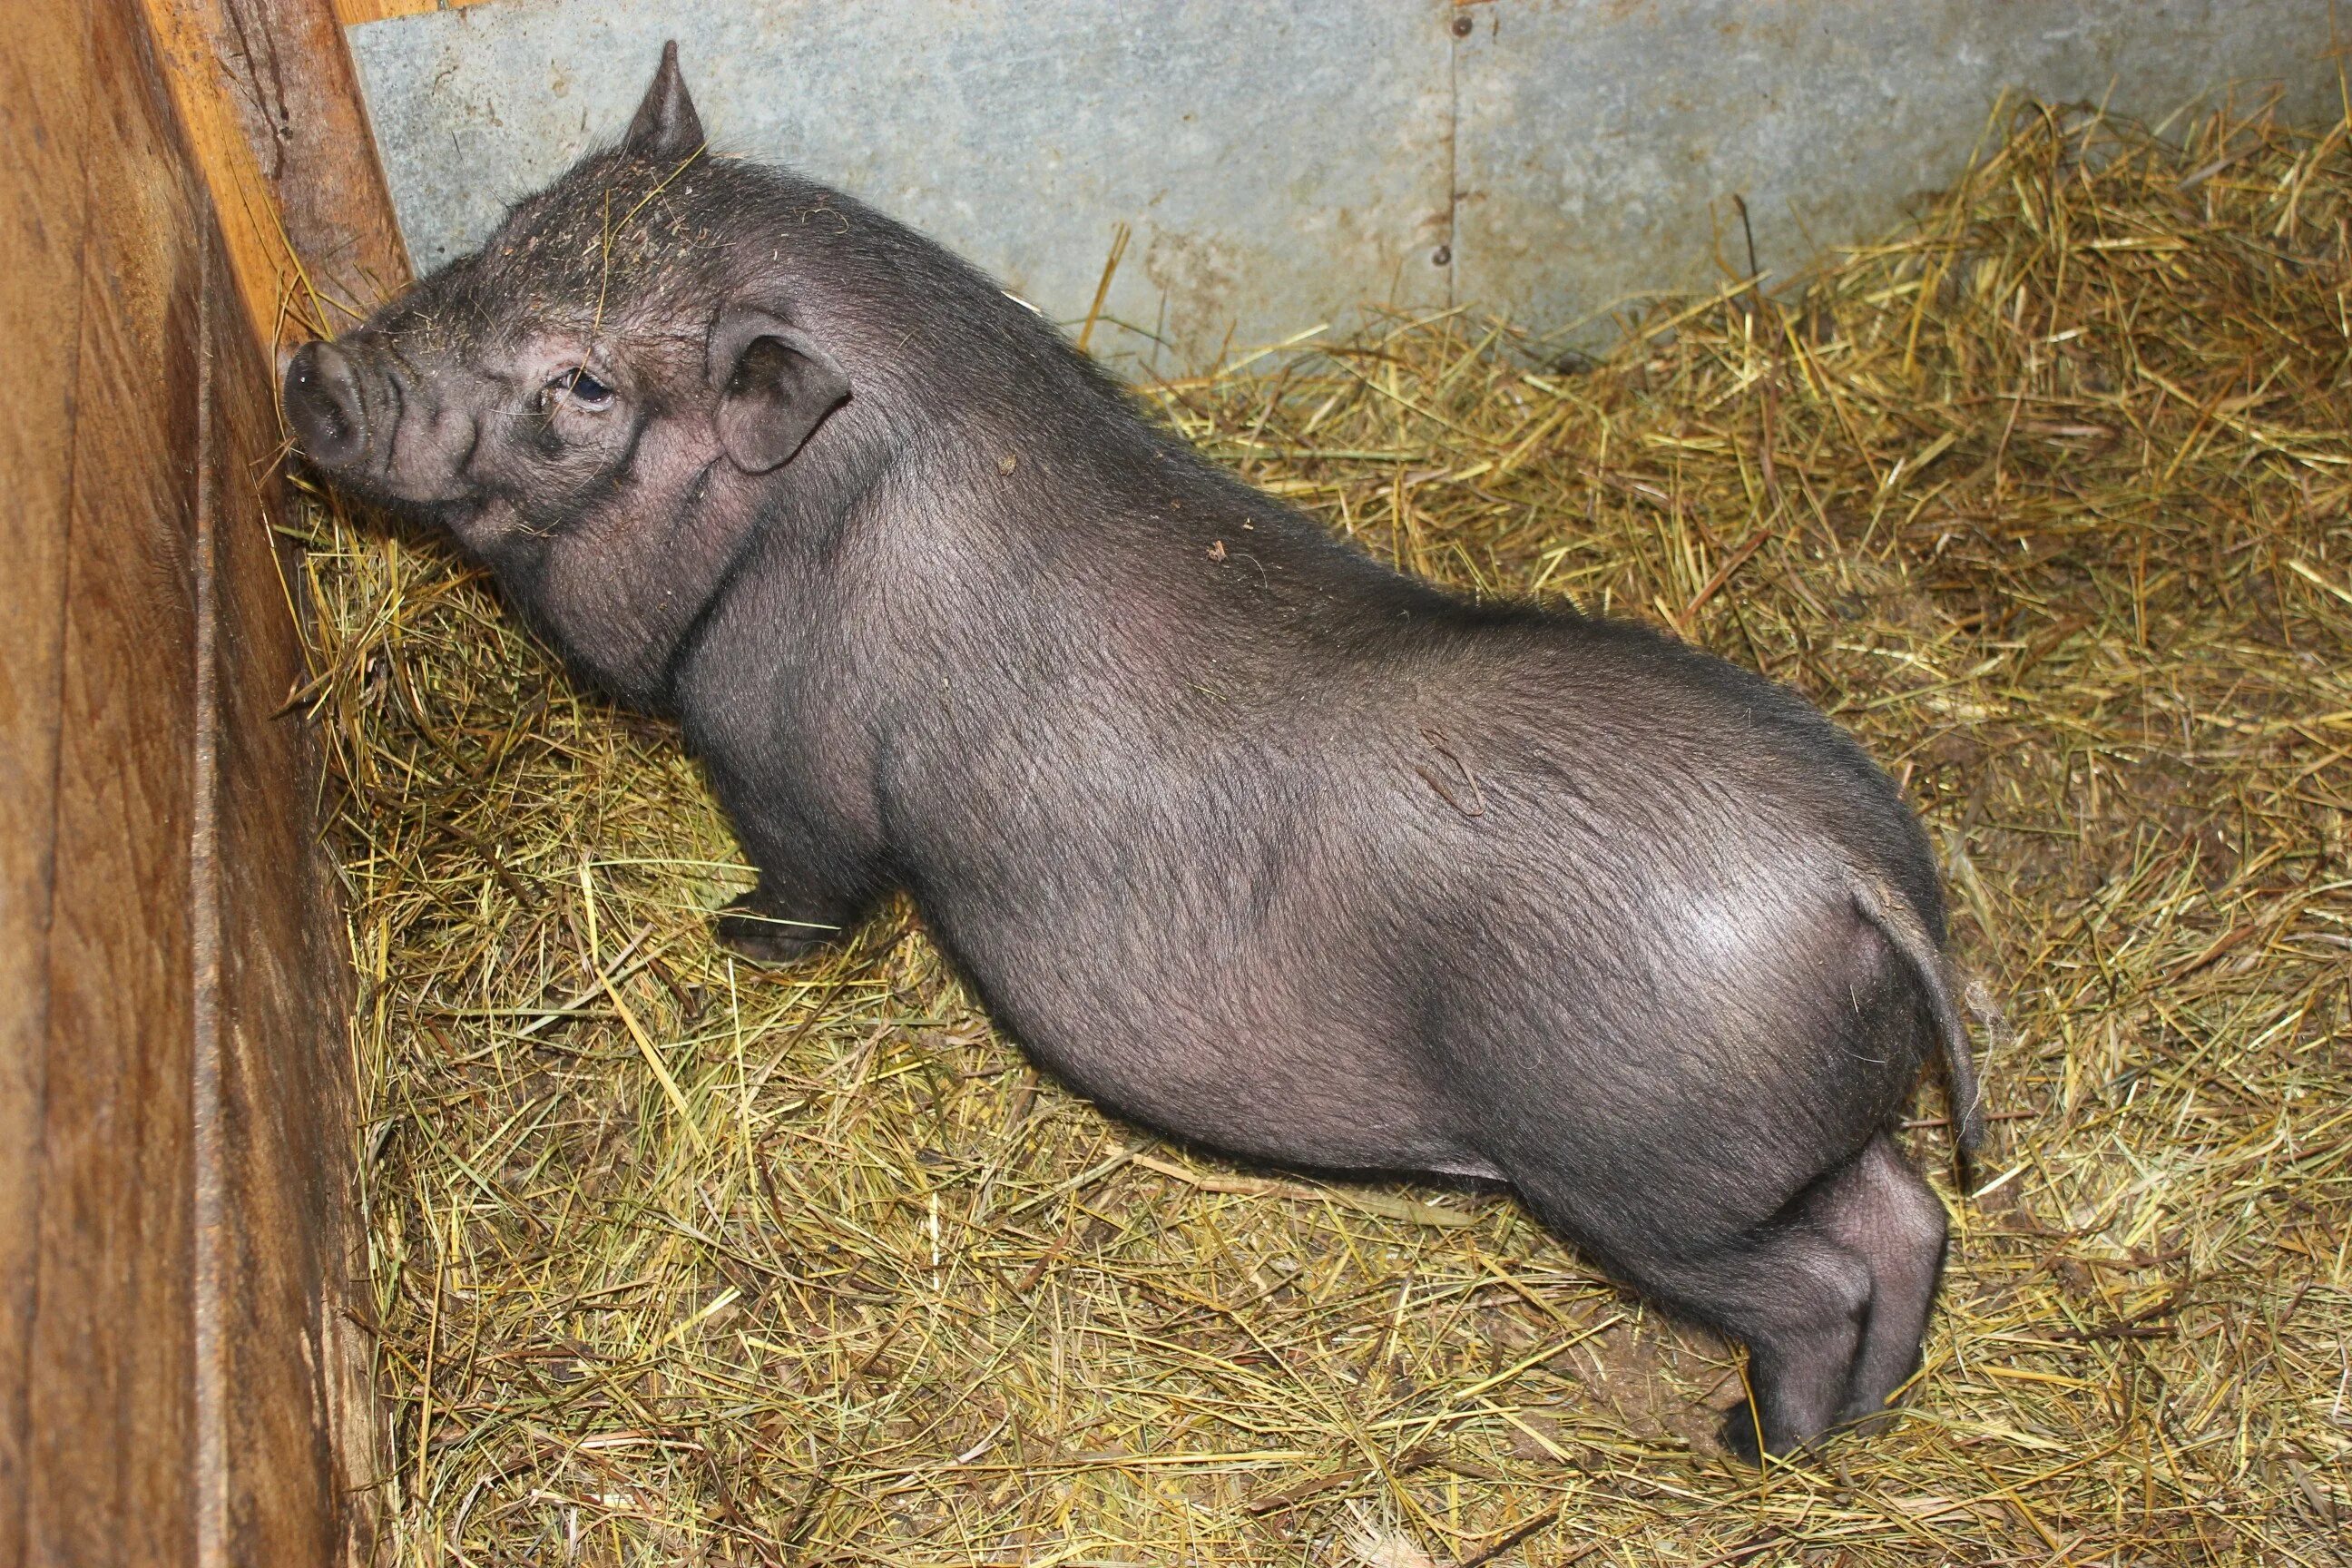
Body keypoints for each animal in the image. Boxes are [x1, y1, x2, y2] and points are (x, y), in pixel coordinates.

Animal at [289, 49, 1984, 1475]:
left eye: (582, 385)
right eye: (505, 228)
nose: (315, 373)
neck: (789, 506)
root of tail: (1859, 876)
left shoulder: (779, 748)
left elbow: (811, 879)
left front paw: (730, 940)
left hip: (1641, 1165)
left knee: (1822, 1279)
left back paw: (1751, 1444)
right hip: (1774, 1133)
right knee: (1905, 1218)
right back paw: (1849, 1416)